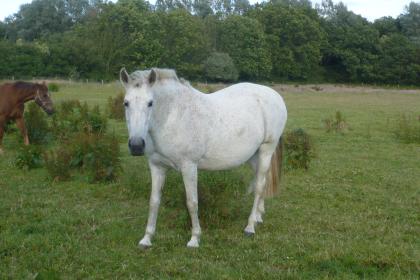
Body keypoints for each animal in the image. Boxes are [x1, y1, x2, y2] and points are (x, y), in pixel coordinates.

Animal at [120, 68, 288, 247]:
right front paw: (147, 238)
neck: (173, 116)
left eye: (150, 103)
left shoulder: (189, 166)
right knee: (260, 181)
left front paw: (195, 238)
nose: (136, 145)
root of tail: (274, 95)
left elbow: (192, 202)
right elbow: (154, 201)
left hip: (266, 150)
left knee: (259, 187)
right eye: (126, 103)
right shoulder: (157, 166)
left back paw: (250, 227)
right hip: (254, 156)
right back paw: (258, 216)